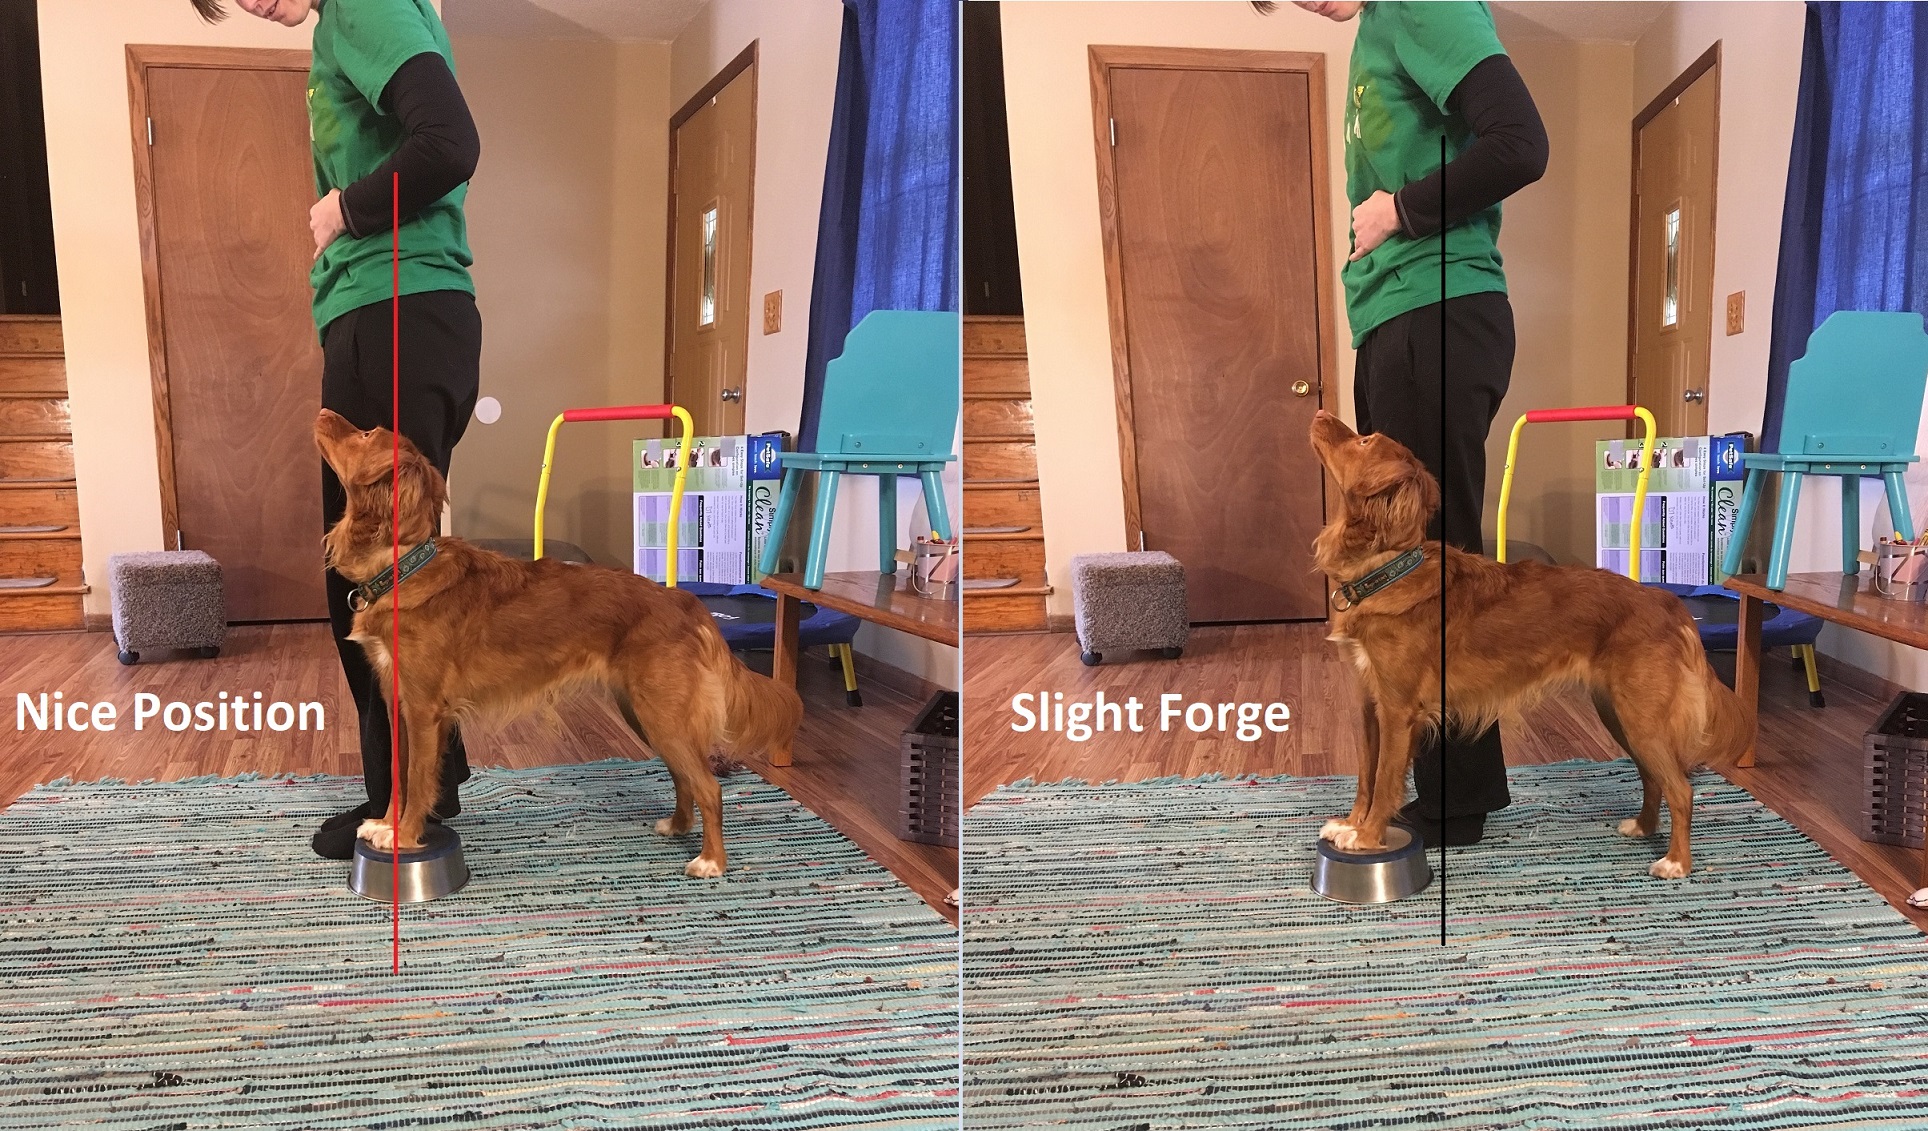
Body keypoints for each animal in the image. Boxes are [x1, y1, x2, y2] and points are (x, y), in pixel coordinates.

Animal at [316, 412, 798, 882]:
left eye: (365, 433)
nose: (321, 412)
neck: (403, 566)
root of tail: (683, 600)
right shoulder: (399, 703)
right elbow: (396, 776)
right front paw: (387, 824)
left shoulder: (424, 712)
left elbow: (417, 780)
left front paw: (407, 834)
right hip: (645, 714)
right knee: (684, 777)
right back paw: (678, 826)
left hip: (663, 715)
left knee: (709, 786)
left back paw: (711, 861)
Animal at [1311, 412, 1750, 882]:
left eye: (1364, 440)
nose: (1319, 415)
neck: (1387, 570)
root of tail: (1666, 601)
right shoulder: (1370, 703)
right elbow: (1365, 774)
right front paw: (1352, 824)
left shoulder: (1398, 711)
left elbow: (1384, 780)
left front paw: (1367, 836)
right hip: (1618, 713)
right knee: (1654, 778)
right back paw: (1644, 827)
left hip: (1641, 718)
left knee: (1681, 788)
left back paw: (1676, 862)